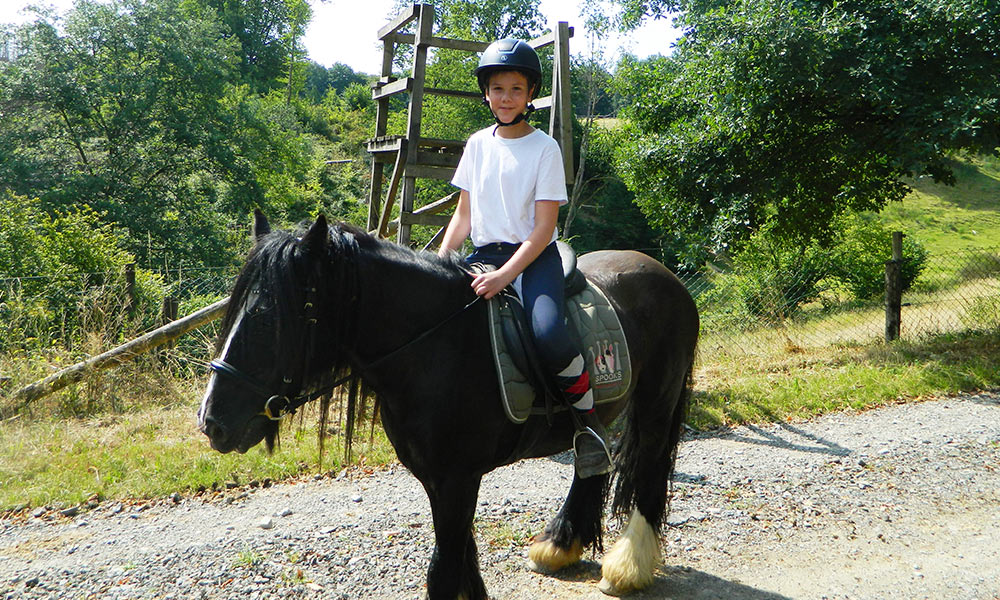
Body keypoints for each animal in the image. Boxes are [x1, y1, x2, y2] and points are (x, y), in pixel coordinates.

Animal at [195, 213, 696, 596]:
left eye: (268, 318)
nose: (211, 423)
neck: (435, 345)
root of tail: (666, 275)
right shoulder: (438, 480)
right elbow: (460, 561)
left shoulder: (458, 478)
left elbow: (444, 569)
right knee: (591, 459)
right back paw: (559, 543)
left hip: (656, 403)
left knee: (648, 469)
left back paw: (627, 567)